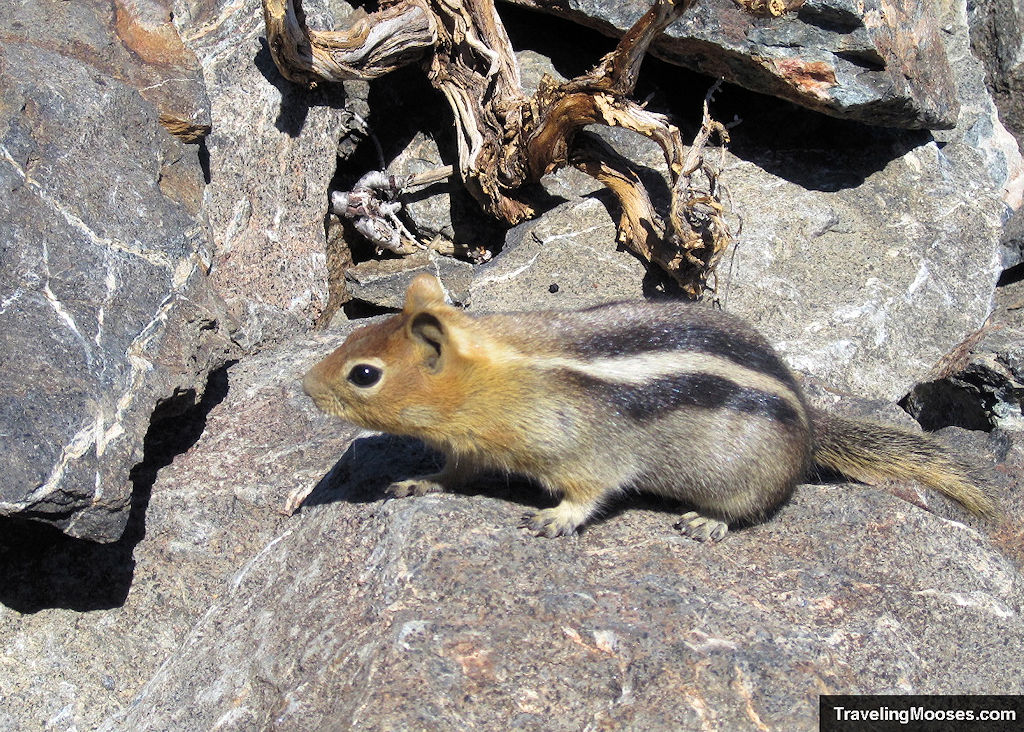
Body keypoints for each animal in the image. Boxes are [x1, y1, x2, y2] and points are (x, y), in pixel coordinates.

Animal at [301, 274, 991, 536]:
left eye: (364, 374)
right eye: (354, 340)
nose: (305, 387)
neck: (492, 379)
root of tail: (810, 420)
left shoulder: (584, 449)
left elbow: (591, 491)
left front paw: (556, 518)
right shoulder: (473, 447)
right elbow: (456, 473)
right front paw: (421, 482)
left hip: (749, 477)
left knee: (754, 508)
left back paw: (708, 522)